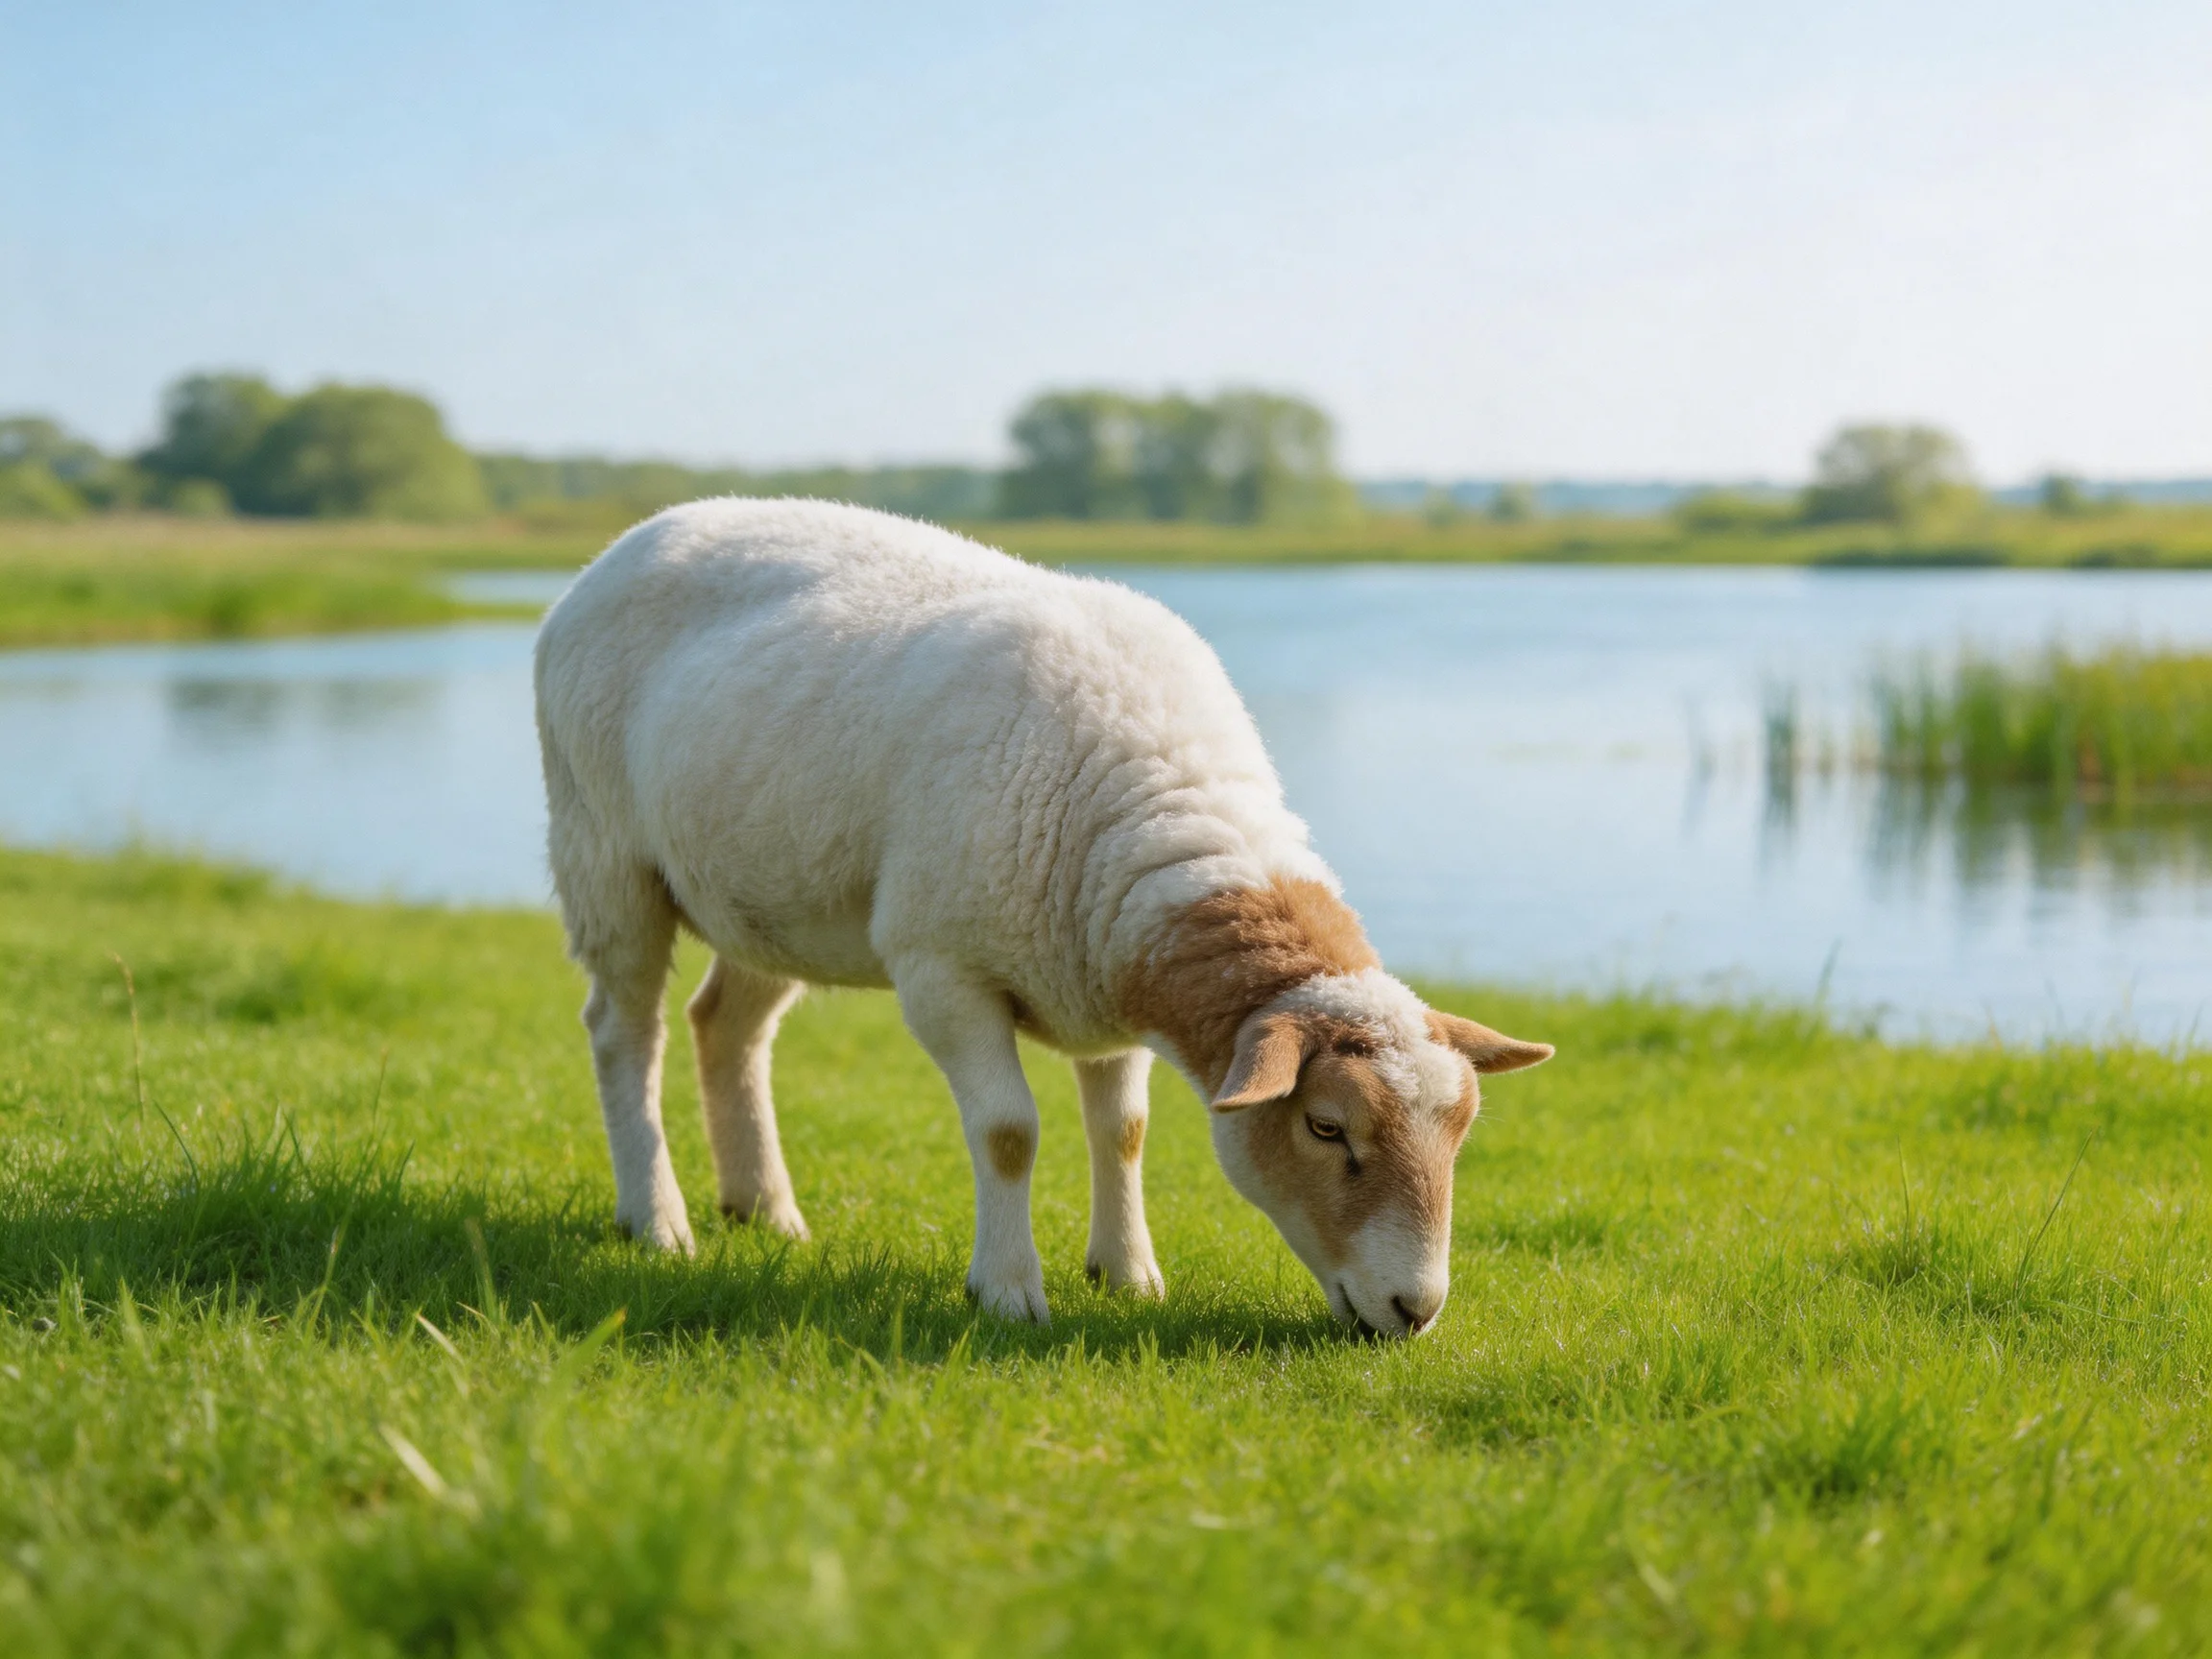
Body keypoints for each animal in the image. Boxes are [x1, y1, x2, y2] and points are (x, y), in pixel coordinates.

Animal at [533, 498, 1551, 1335]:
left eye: (1461, 1132)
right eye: (1327, 1128)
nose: (1415, 1312)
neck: (1163, 804)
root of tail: (635, 537)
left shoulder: (1104, 967)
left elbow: (1124, 1129)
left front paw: (1129, 1274)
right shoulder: (942, 968)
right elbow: (1009, 1133)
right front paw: (1009, 1291)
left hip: (770, 891)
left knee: (727, 1027)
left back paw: (765, 1211)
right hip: (605, 854)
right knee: (624, 1033)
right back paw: (657, 1219)